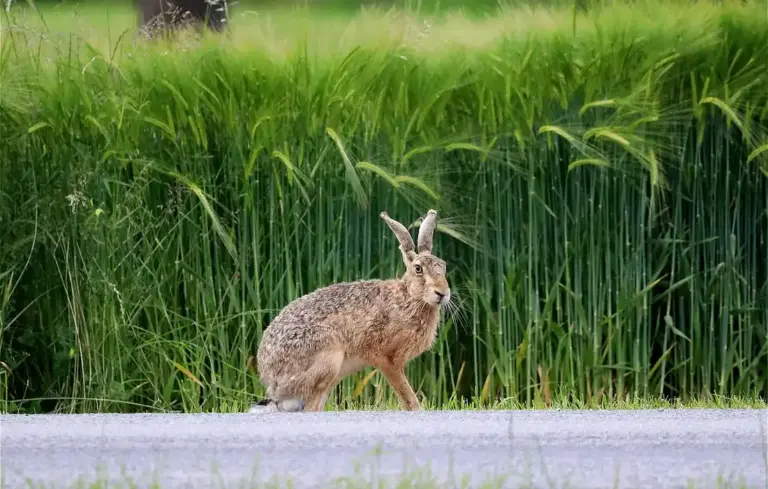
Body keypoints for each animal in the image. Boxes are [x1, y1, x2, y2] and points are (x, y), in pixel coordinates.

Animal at [249, 208, 450, 413]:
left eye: (443, 266)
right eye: (418, 269)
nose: (442, 293)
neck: (410, 297)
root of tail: (273, 385)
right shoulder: (387, 359)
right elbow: (407, 395)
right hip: (328, 360)